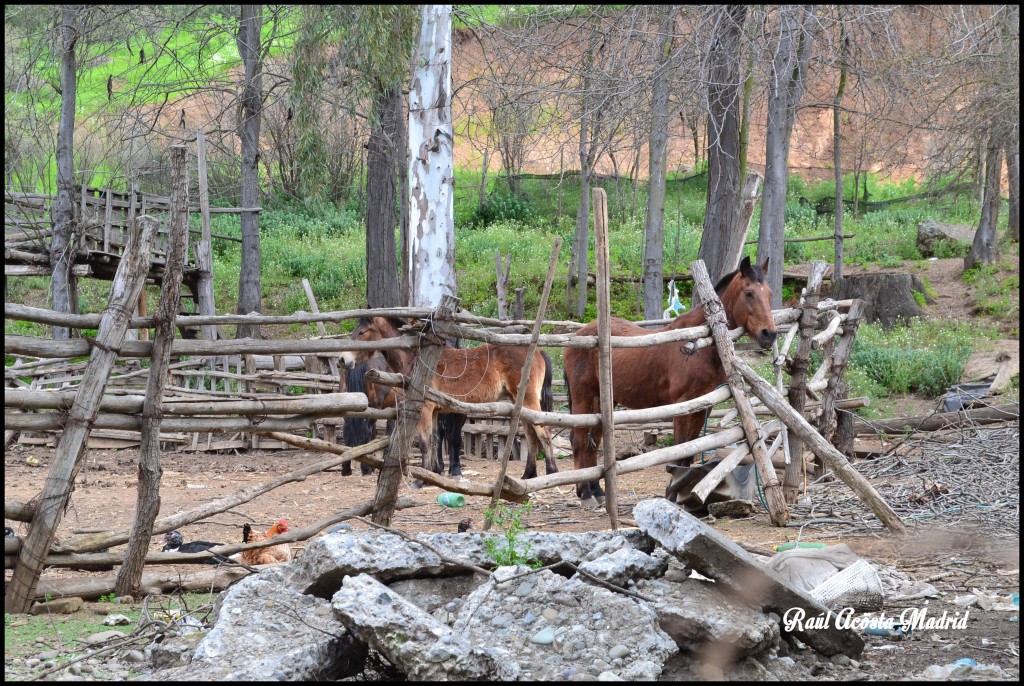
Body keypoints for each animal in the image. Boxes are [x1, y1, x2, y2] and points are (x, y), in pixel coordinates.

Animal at [561, 258, 774, 509]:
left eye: (769, 293)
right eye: (749, 293)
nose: (769, 334)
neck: (697, 344)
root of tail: (578, 336)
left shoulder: (702, 407)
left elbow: (689, 451)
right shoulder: (682, 405)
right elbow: (680, 449)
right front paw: (672, 495)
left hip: (602, 402)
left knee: (592, 443)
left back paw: (597, 491)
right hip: (583, 397)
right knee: (580, 441)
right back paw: (586, 493)